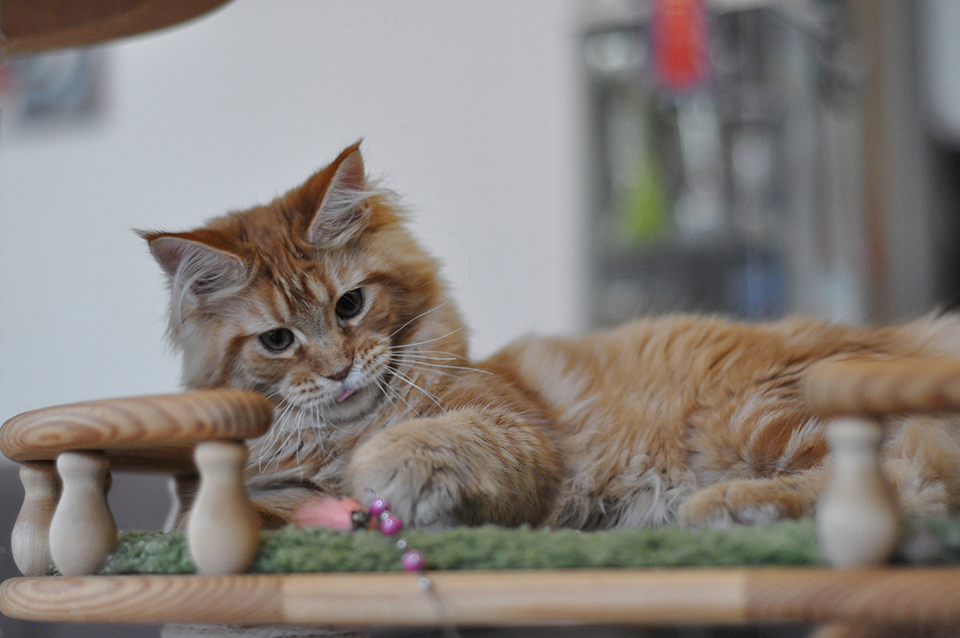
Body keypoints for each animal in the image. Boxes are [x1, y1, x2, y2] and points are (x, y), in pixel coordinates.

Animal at [141, 142, 960, 532]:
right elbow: (234, 503)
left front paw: (392, 474)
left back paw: (722, 507)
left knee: (909, 484)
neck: (343, 435)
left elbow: (435, 441)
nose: (341, 369)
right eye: (279, 341)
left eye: (350, 305)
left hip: (753, 415)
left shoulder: (516, 430)